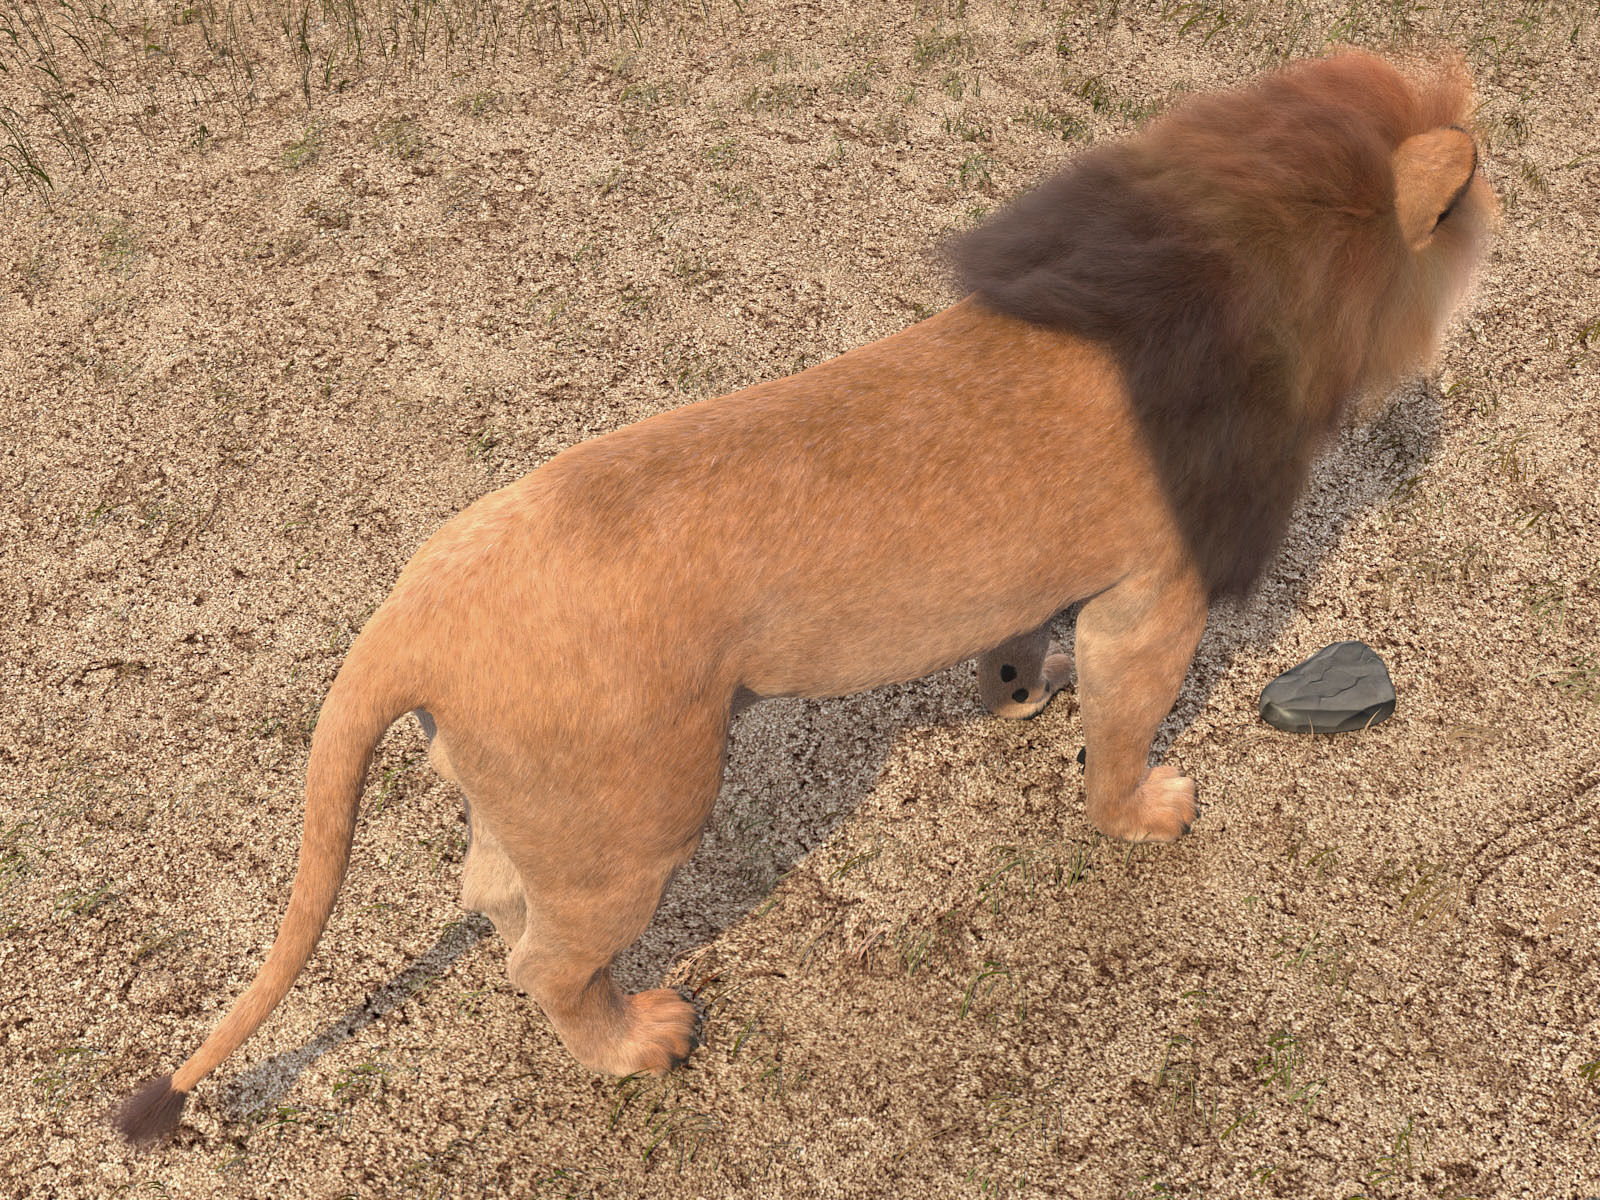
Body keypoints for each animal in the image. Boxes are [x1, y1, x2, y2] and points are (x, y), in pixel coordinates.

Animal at [117, 52, 1493, 1142]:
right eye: (1473, 197)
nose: (1497, 188)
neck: (1233, 249)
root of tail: (414, 608)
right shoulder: (1152, 598)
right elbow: (1121, 737)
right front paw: (1145, 812)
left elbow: (1018, 640)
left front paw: (1015, 690)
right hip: (640, 822)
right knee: (548, 960)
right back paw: (639, 1041)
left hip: (553, 810)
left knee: (492, 896)